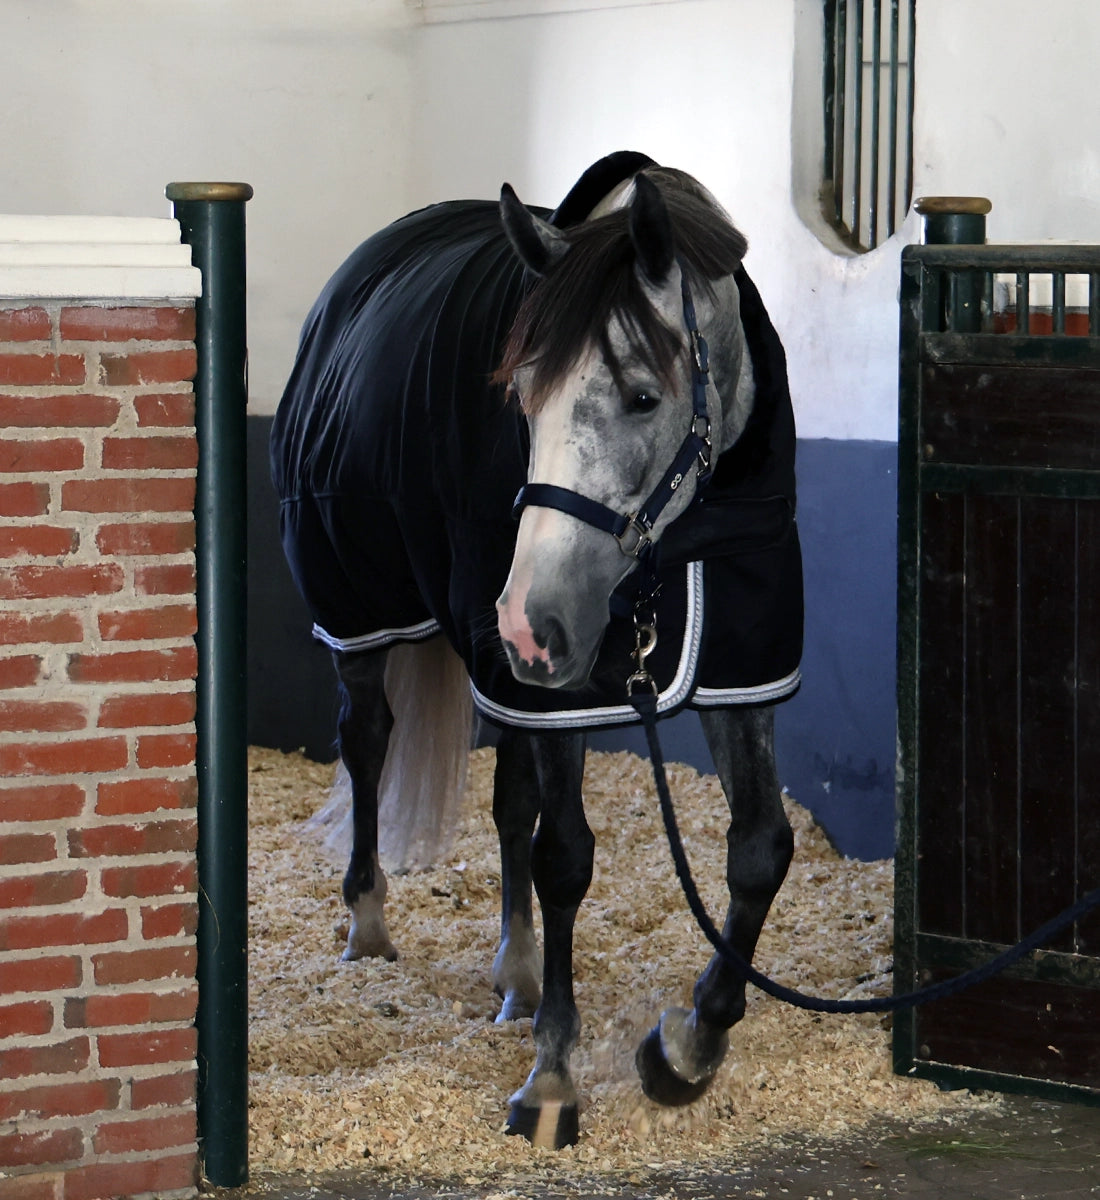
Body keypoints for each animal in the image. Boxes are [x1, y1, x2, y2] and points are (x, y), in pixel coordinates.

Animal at [271, 151, 803, 1149]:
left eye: (642, 395)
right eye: (517, 398)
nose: (527, 622)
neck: (678, 540)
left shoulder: (739, 671)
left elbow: (760, 850)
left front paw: (690, 1047)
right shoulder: (559, 691)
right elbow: (566, 858)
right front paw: (552, 1079)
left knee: (508, 798)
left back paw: (515, 971)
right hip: (365, 607)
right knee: (367, 741)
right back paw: (369, 922)